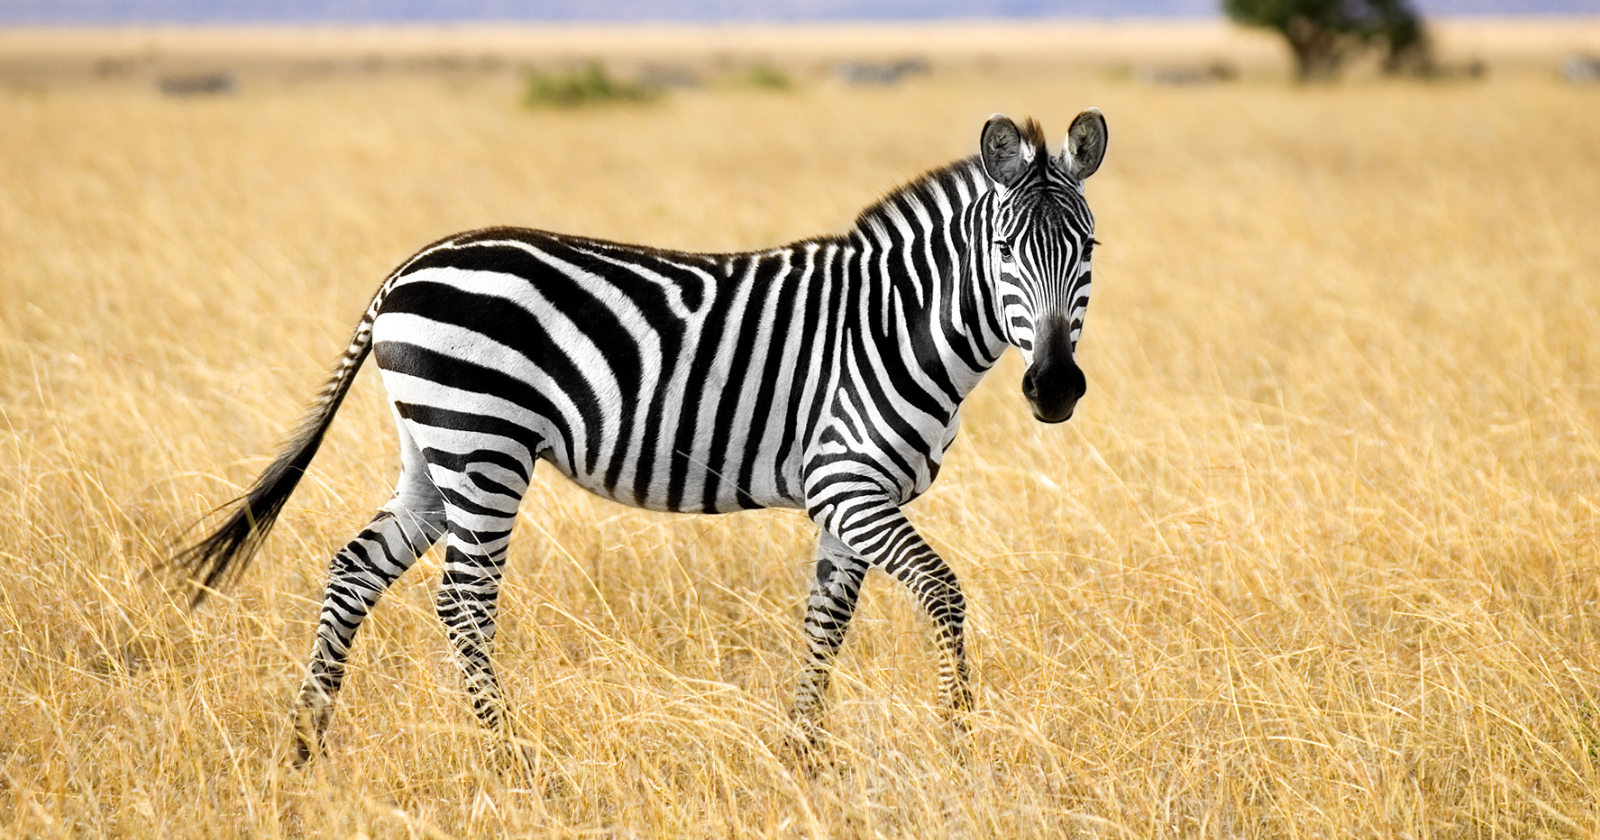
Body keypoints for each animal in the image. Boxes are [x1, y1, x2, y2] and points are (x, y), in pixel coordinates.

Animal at [177, 110, 1107, 764]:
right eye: (1004, 247)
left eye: (1090, 247)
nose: (1056, 387)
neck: (893, 324)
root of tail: (407, 268)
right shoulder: (848, 481)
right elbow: (944, 594)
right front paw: (961, 741)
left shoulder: (849, 501)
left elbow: (825, 622)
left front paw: (803, 756)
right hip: (485, 444)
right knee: (463, 603)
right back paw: (511, 760)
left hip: (433, 452)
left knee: (352, 570)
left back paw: (306, 742)